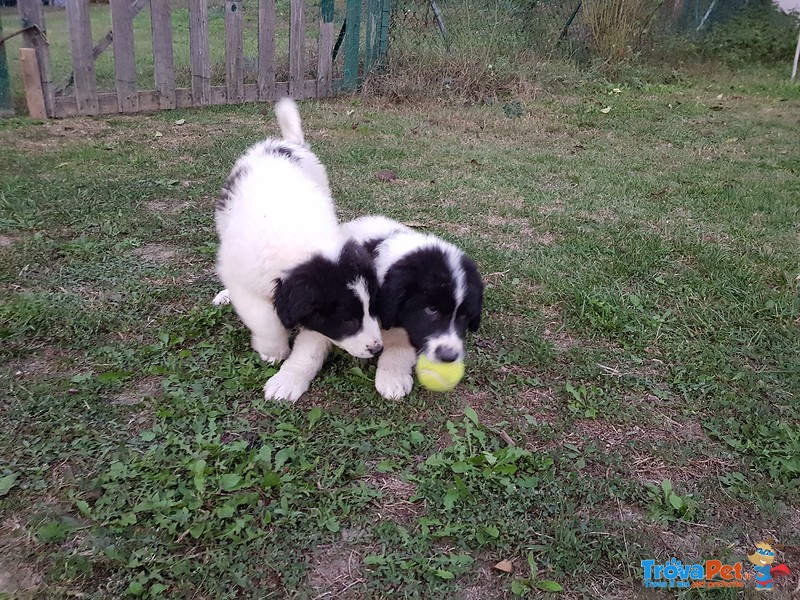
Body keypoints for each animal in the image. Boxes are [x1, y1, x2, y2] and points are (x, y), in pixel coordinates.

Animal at [214, 99, 382, 404]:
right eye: (349, 320)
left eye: (373, 309)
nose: (377, 348)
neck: (302, 245)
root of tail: (286, 143)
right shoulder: (246, 278)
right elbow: (265, 318)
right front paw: (273, 350)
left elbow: (312, 341)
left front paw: (290, 378)